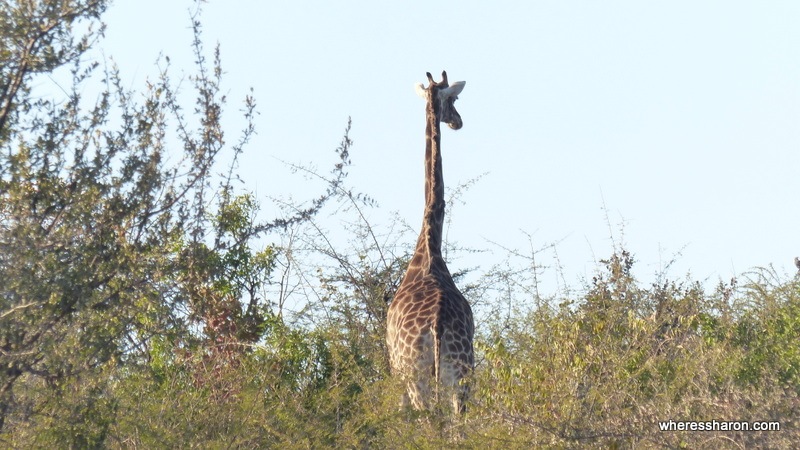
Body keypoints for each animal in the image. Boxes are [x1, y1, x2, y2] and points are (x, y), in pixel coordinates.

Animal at [388, 71, 476, 414]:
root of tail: (437, 326)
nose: (458, 122)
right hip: (461, 375)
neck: (429, 249)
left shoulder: (394, 369)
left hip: (417, 376)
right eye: (455, 99)